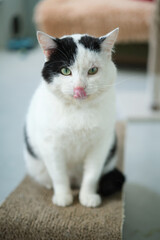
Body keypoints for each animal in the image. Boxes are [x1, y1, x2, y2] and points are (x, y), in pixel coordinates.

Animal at [24, 28, 125, 207]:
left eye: (93, 70)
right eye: (65, 71)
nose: (80, 88)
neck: (78, 111)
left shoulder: (100, 145)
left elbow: (91, 175)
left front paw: (88, 197)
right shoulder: (51, 146)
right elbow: (59, 175)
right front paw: (63, 197)